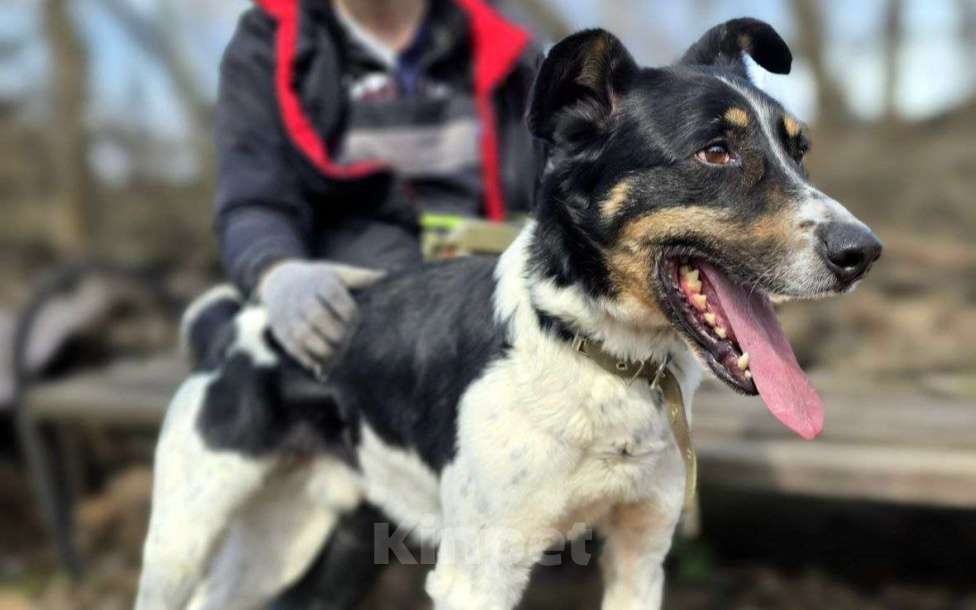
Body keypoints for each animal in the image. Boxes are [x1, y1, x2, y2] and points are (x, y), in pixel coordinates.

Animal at [135, 19, 881, 610]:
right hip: (183, 534)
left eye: (799, 150)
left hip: (287, 532)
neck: (591, 350)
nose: (863, 252)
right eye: (716, 152)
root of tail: (229, 328)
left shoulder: (639, 554)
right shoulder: (478, 576)